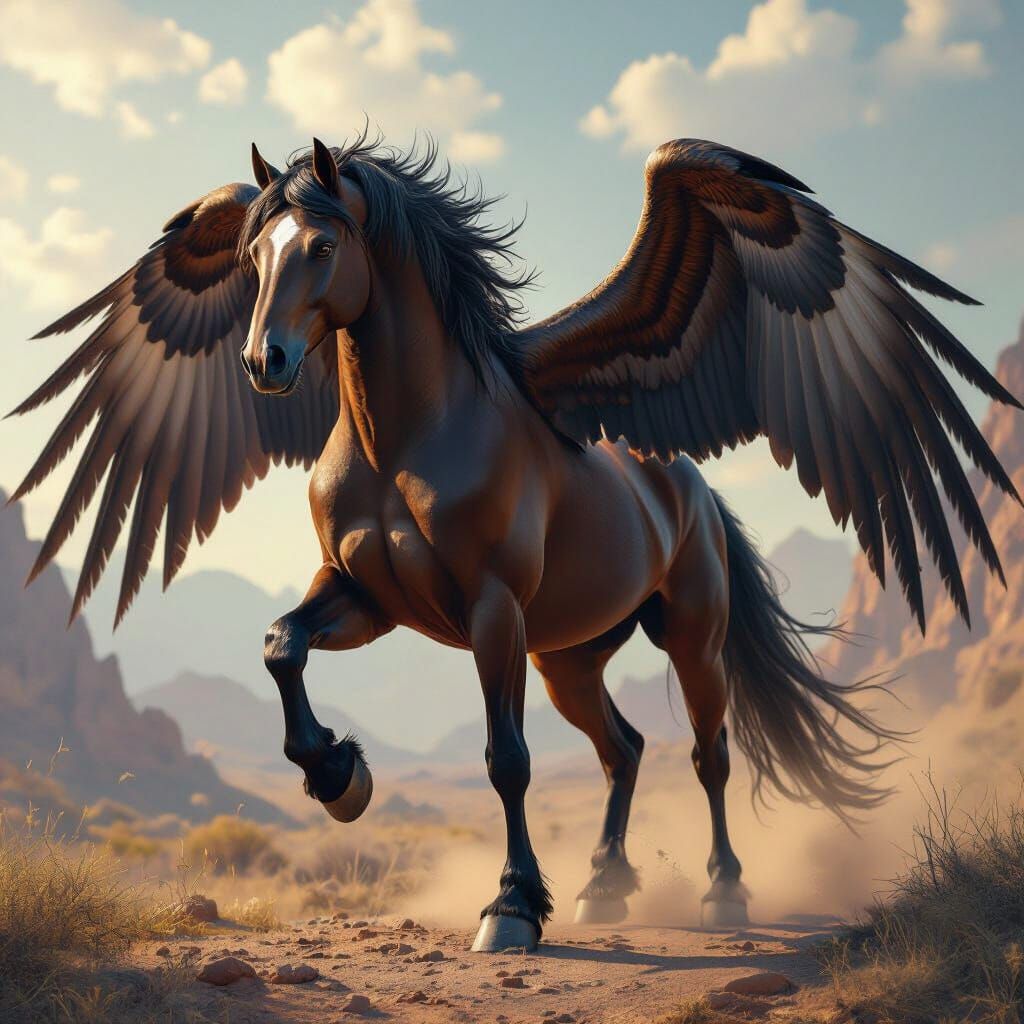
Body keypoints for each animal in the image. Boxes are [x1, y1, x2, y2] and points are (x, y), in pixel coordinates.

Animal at [12, 133, 1018, 952]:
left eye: (324, 246)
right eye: (250, 252)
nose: (267, 364)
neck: (408, 432)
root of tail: (685, 480)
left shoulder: (490, 611)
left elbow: (507, 761)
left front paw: (511, 907)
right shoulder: (367, 596)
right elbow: (280, 646)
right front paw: (338, 774)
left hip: (690, 636)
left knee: (707, 754)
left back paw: (723, 895)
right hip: (569, 656)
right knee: (624, 749)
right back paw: (606, 887)